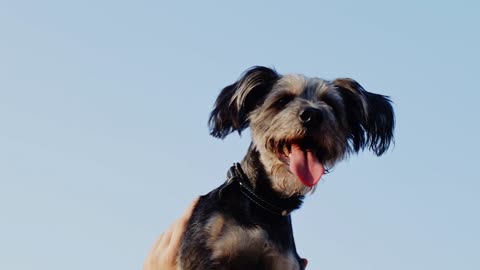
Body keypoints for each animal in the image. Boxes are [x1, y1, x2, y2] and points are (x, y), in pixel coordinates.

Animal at [178, 66, 396, 270]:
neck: (266, 202)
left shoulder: (283, 262)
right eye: (283, 100)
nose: (312, 114)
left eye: (331, 105)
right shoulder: (201, 254)